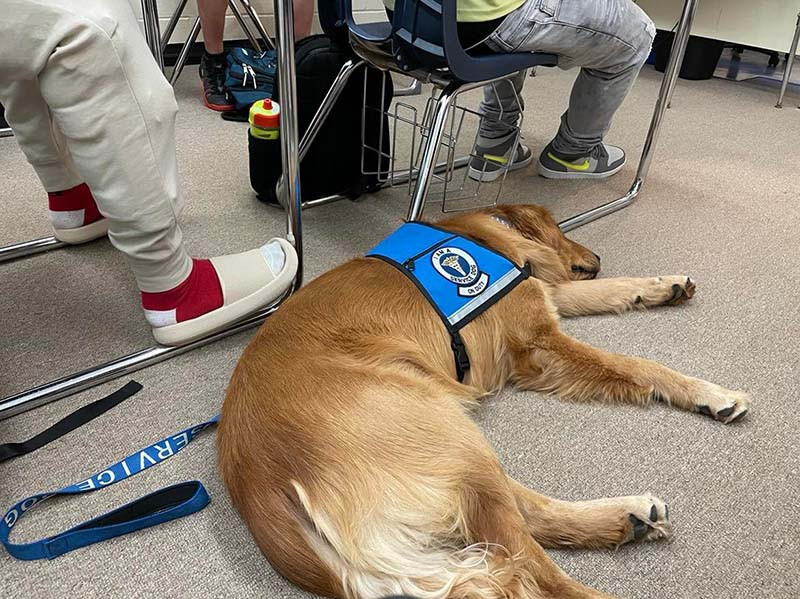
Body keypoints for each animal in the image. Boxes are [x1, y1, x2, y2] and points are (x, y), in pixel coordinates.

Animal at [217, 204, 752, 596]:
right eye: (563, 229)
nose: (597, 255)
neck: (485, 236)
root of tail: (264, 487)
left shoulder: (548, 299)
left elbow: (612, 291)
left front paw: (665, 286)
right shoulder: (538, 339)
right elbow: (640, 364)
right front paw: (712, 392)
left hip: (445, 439)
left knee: (528, 517)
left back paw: (629, 517)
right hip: (442, 428)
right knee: (537, 570)